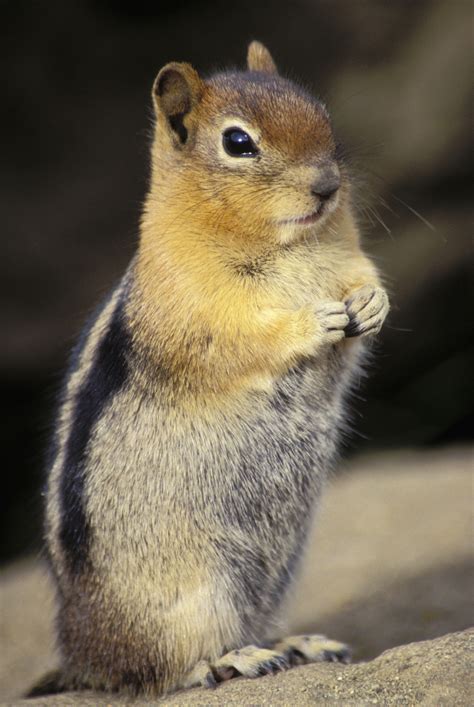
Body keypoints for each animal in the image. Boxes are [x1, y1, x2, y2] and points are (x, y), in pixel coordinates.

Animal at [39, 41, 390, 700]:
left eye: (320, 111)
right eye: (238, 142)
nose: (328, 186)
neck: (291, 246)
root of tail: (81, 654)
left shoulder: (349, 257)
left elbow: (365, 283)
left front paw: (372, 304)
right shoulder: (194, 309)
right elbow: (239, 341)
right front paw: (312, 323)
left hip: (269, 580)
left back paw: (294, 644)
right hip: (190, 598)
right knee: (157, 672)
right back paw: (229, 661)